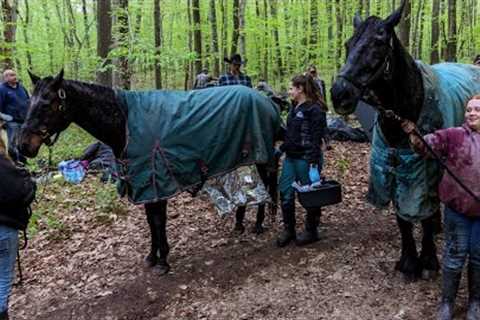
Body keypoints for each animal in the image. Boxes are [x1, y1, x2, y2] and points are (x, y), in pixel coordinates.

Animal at [330, 0, 442, 280]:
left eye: (379, 42)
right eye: (348, 44)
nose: (339, 94)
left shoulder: (425, 170)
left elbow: (424, 214)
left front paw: (428, 260)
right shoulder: (393, 168)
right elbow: (402, 218)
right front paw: (409, 261)